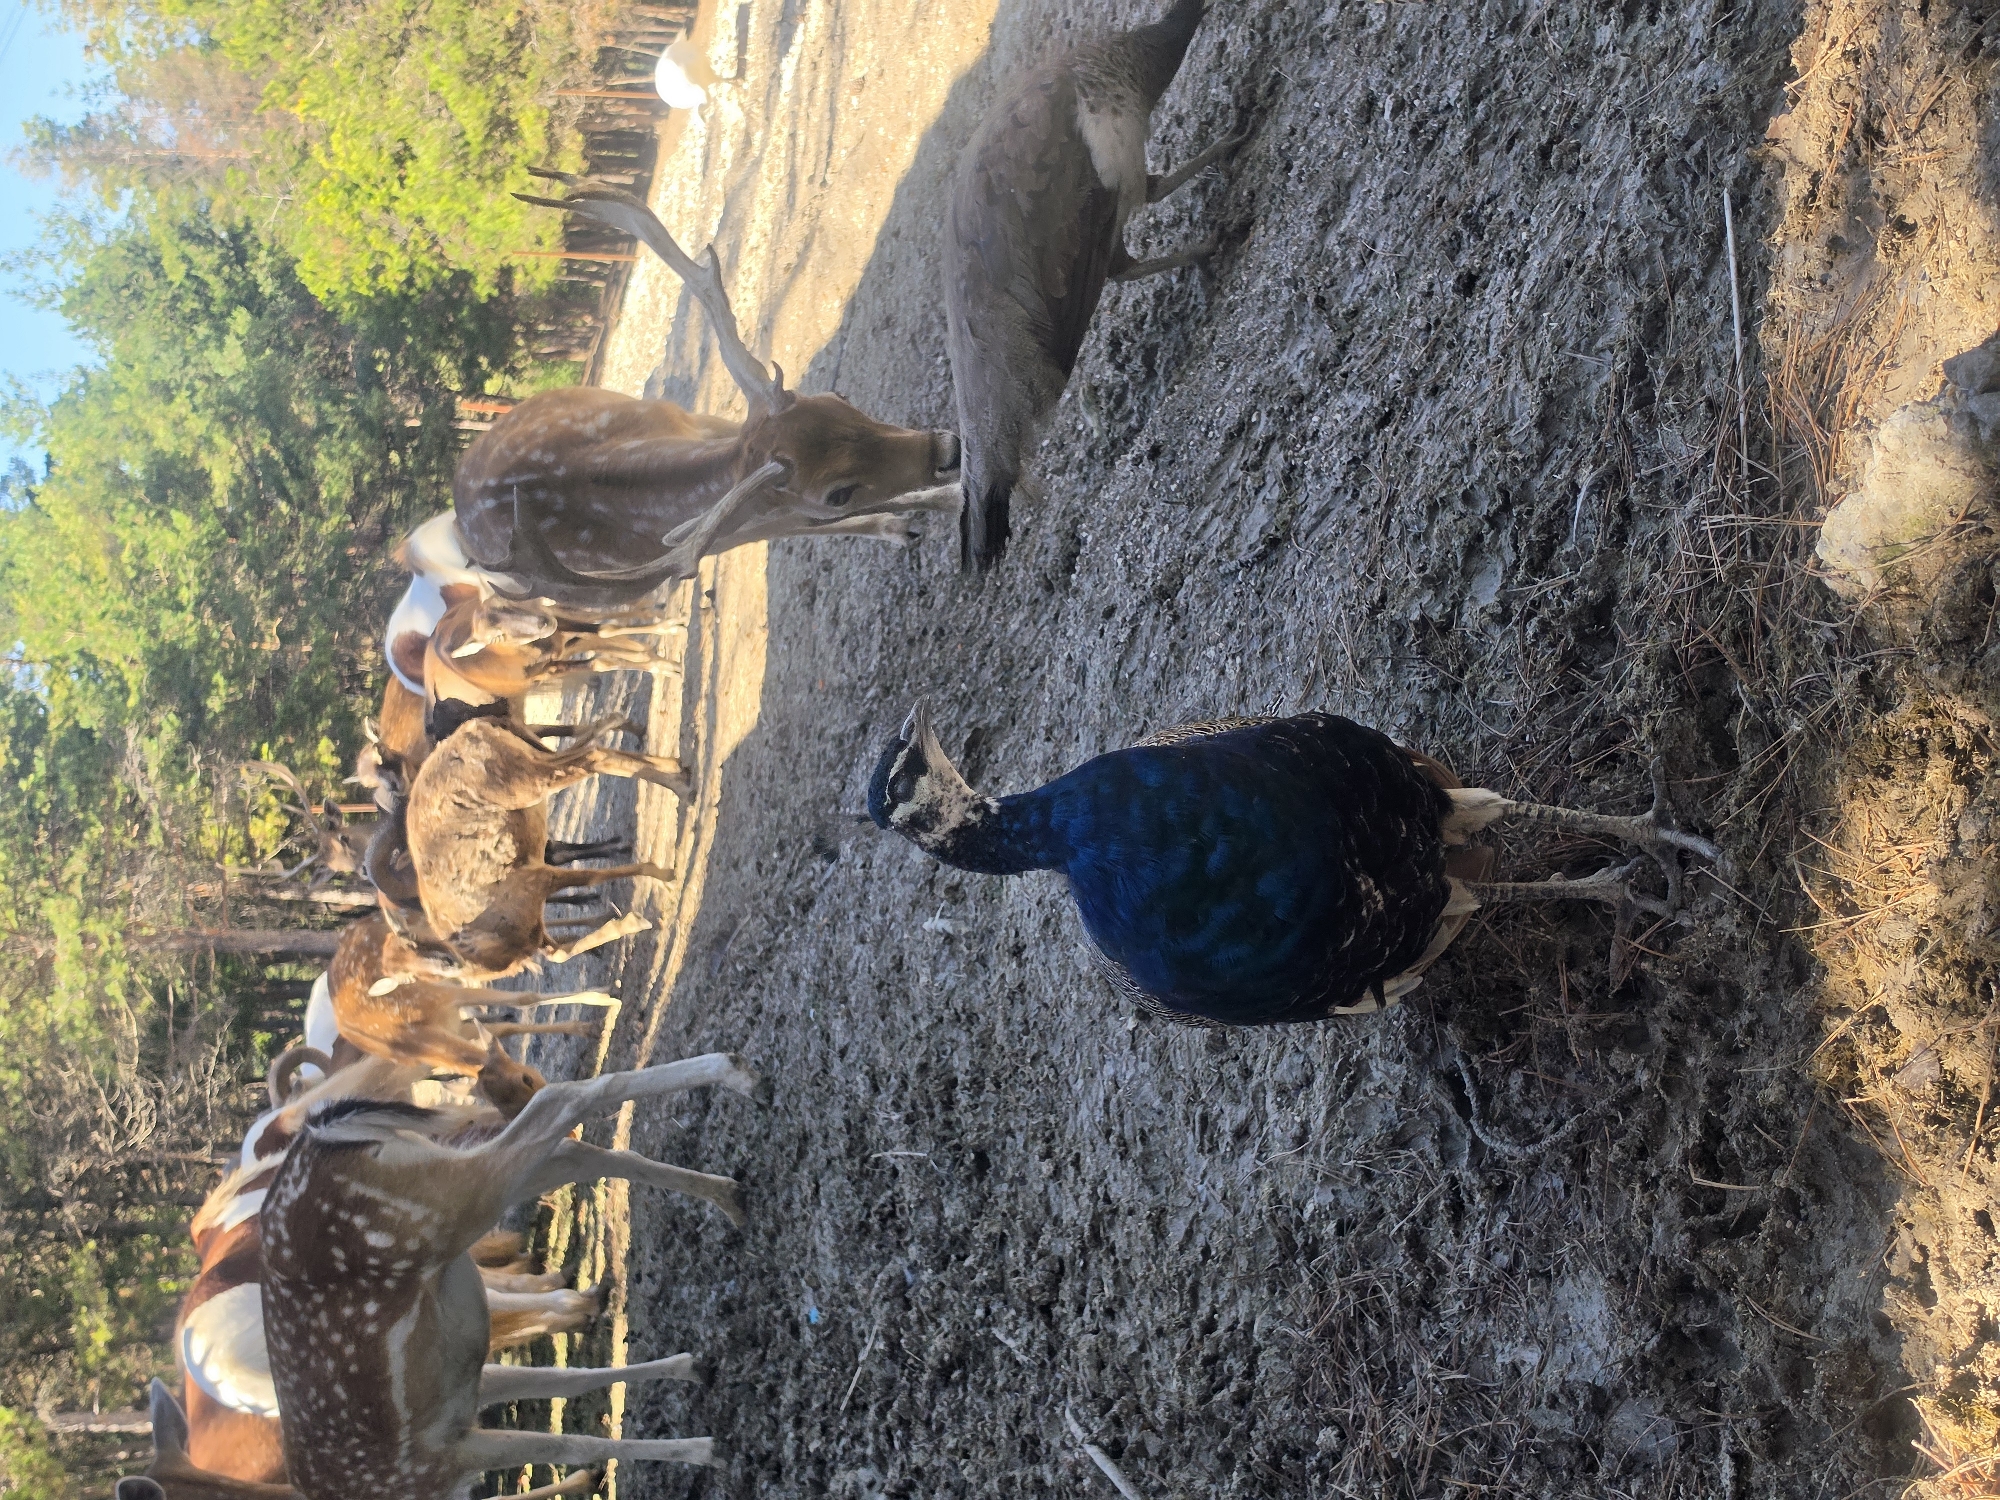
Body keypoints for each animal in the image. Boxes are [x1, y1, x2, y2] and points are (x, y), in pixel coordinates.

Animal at [256, 1053, 758, 1497]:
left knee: (560, 1101)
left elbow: (570, 1445)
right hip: (440, 1175)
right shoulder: (469, 1389)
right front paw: (692, 1368)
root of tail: (318, 1135)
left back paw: (737, 1073)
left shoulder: (440, 1461)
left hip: (445, 1206)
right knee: (580, 1152)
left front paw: (708, 1451)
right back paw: (730, 1194)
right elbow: (570, 1382)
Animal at [439, 173, 960, 610]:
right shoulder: (746, 523)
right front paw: (943, 506)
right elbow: (820, 521)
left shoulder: (707, 424)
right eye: (837, 493)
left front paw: (941, 502)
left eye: (840, 398)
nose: (947, 448)